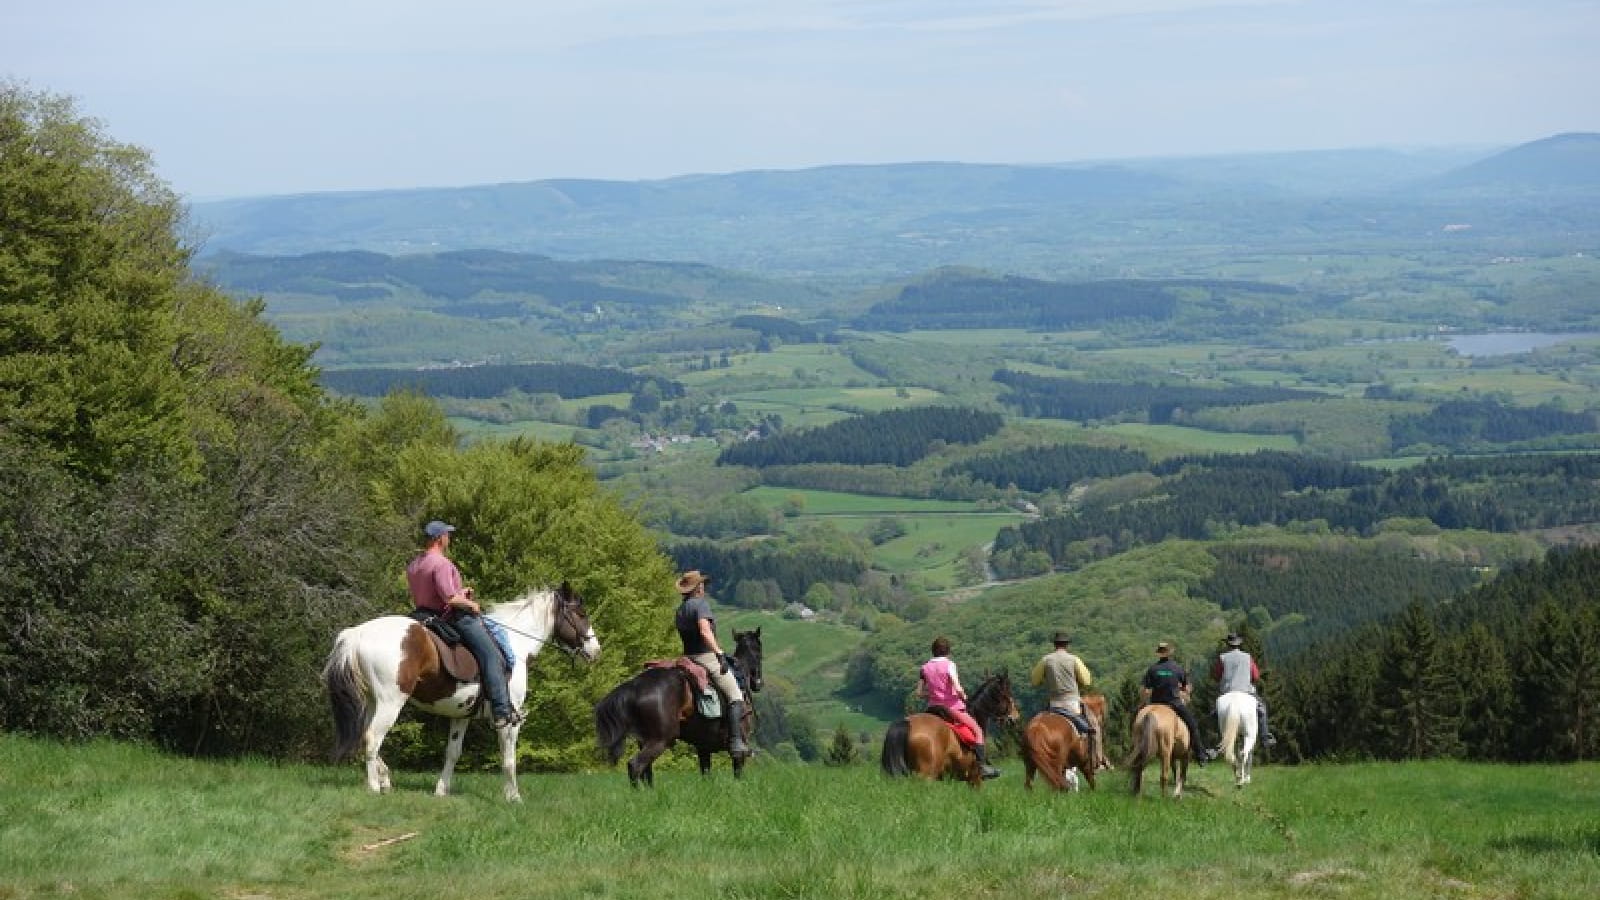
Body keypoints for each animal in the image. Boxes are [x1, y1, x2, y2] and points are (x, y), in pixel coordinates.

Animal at [321, 582, 601, 797]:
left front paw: (441, 790)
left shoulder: (461, 716)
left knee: (363, 736)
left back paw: (384, 778)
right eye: (581, 614)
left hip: (372, 702)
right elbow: (509, 759)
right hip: (391, 702)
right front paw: (513, 796)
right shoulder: (509, 719)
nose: (596, 650)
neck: (515, 645)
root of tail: (356, 633)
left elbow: (453, 753)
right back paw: (373, 786)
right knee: (371, 738)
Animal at [595, 624, 761, 784]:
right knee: (635, 765)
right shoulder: (738, 750)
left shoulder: (703, 747)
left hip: (645, 740)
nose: (758, 684)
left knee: (646, 771)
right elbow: (737, 773)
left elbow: (706, 776)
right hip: (661, 739)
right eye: (760, 653)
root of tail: (635, 685)